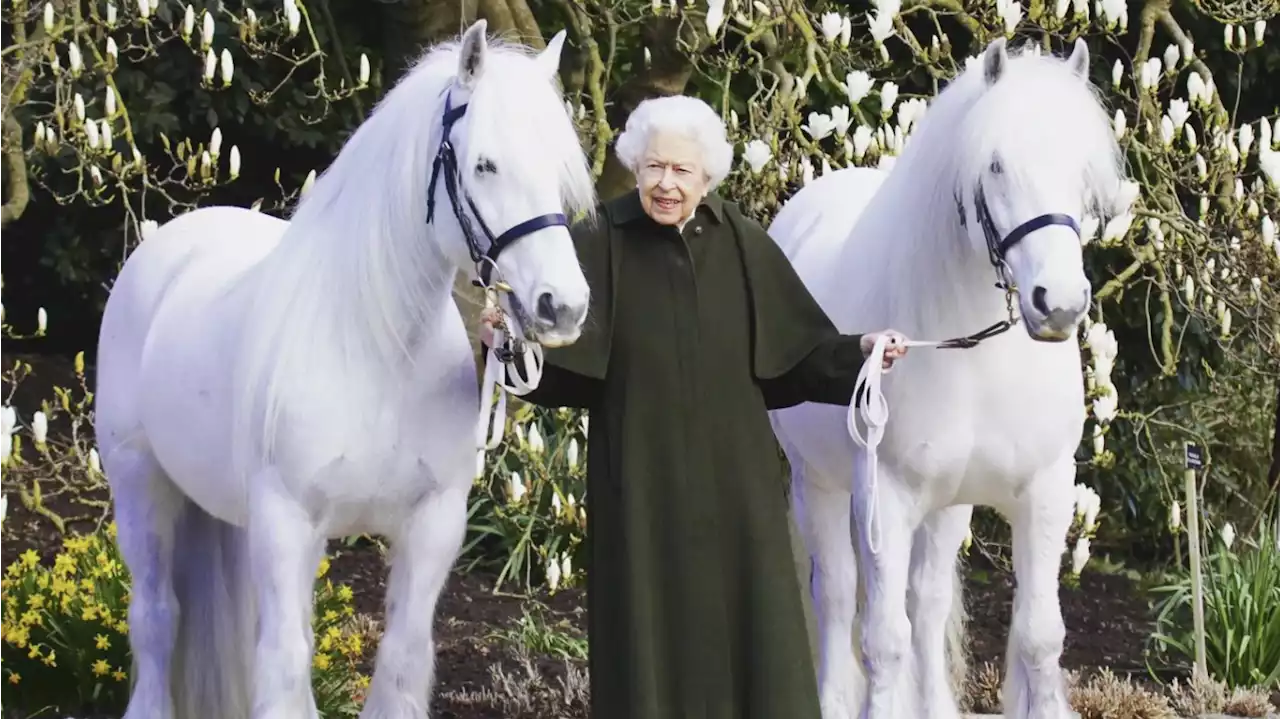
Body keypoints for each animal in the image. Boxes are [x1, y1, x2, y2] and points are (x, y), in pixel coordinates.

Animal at [93, 20, 593, 716]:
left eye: (557, 168)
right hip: (140, 486)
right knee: (157, 618)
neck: (379, 353)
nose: (563, 306)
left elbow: (402, 661)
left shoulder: (433, 525)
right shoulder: (287, 524)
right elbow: (284, 666)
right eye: (485, 164)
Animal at [768, 37, 1121, 716]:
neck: (976, 357)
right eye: (996, 166)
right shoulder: (885, 498)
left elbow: (1039, 636)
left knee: (927, 604)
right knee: (838, 596)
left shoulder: (1044, 492)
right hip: (818, 484)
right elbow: (882, 641)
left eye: (1080, 170)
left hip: (948, 505)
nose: (1059, 304)